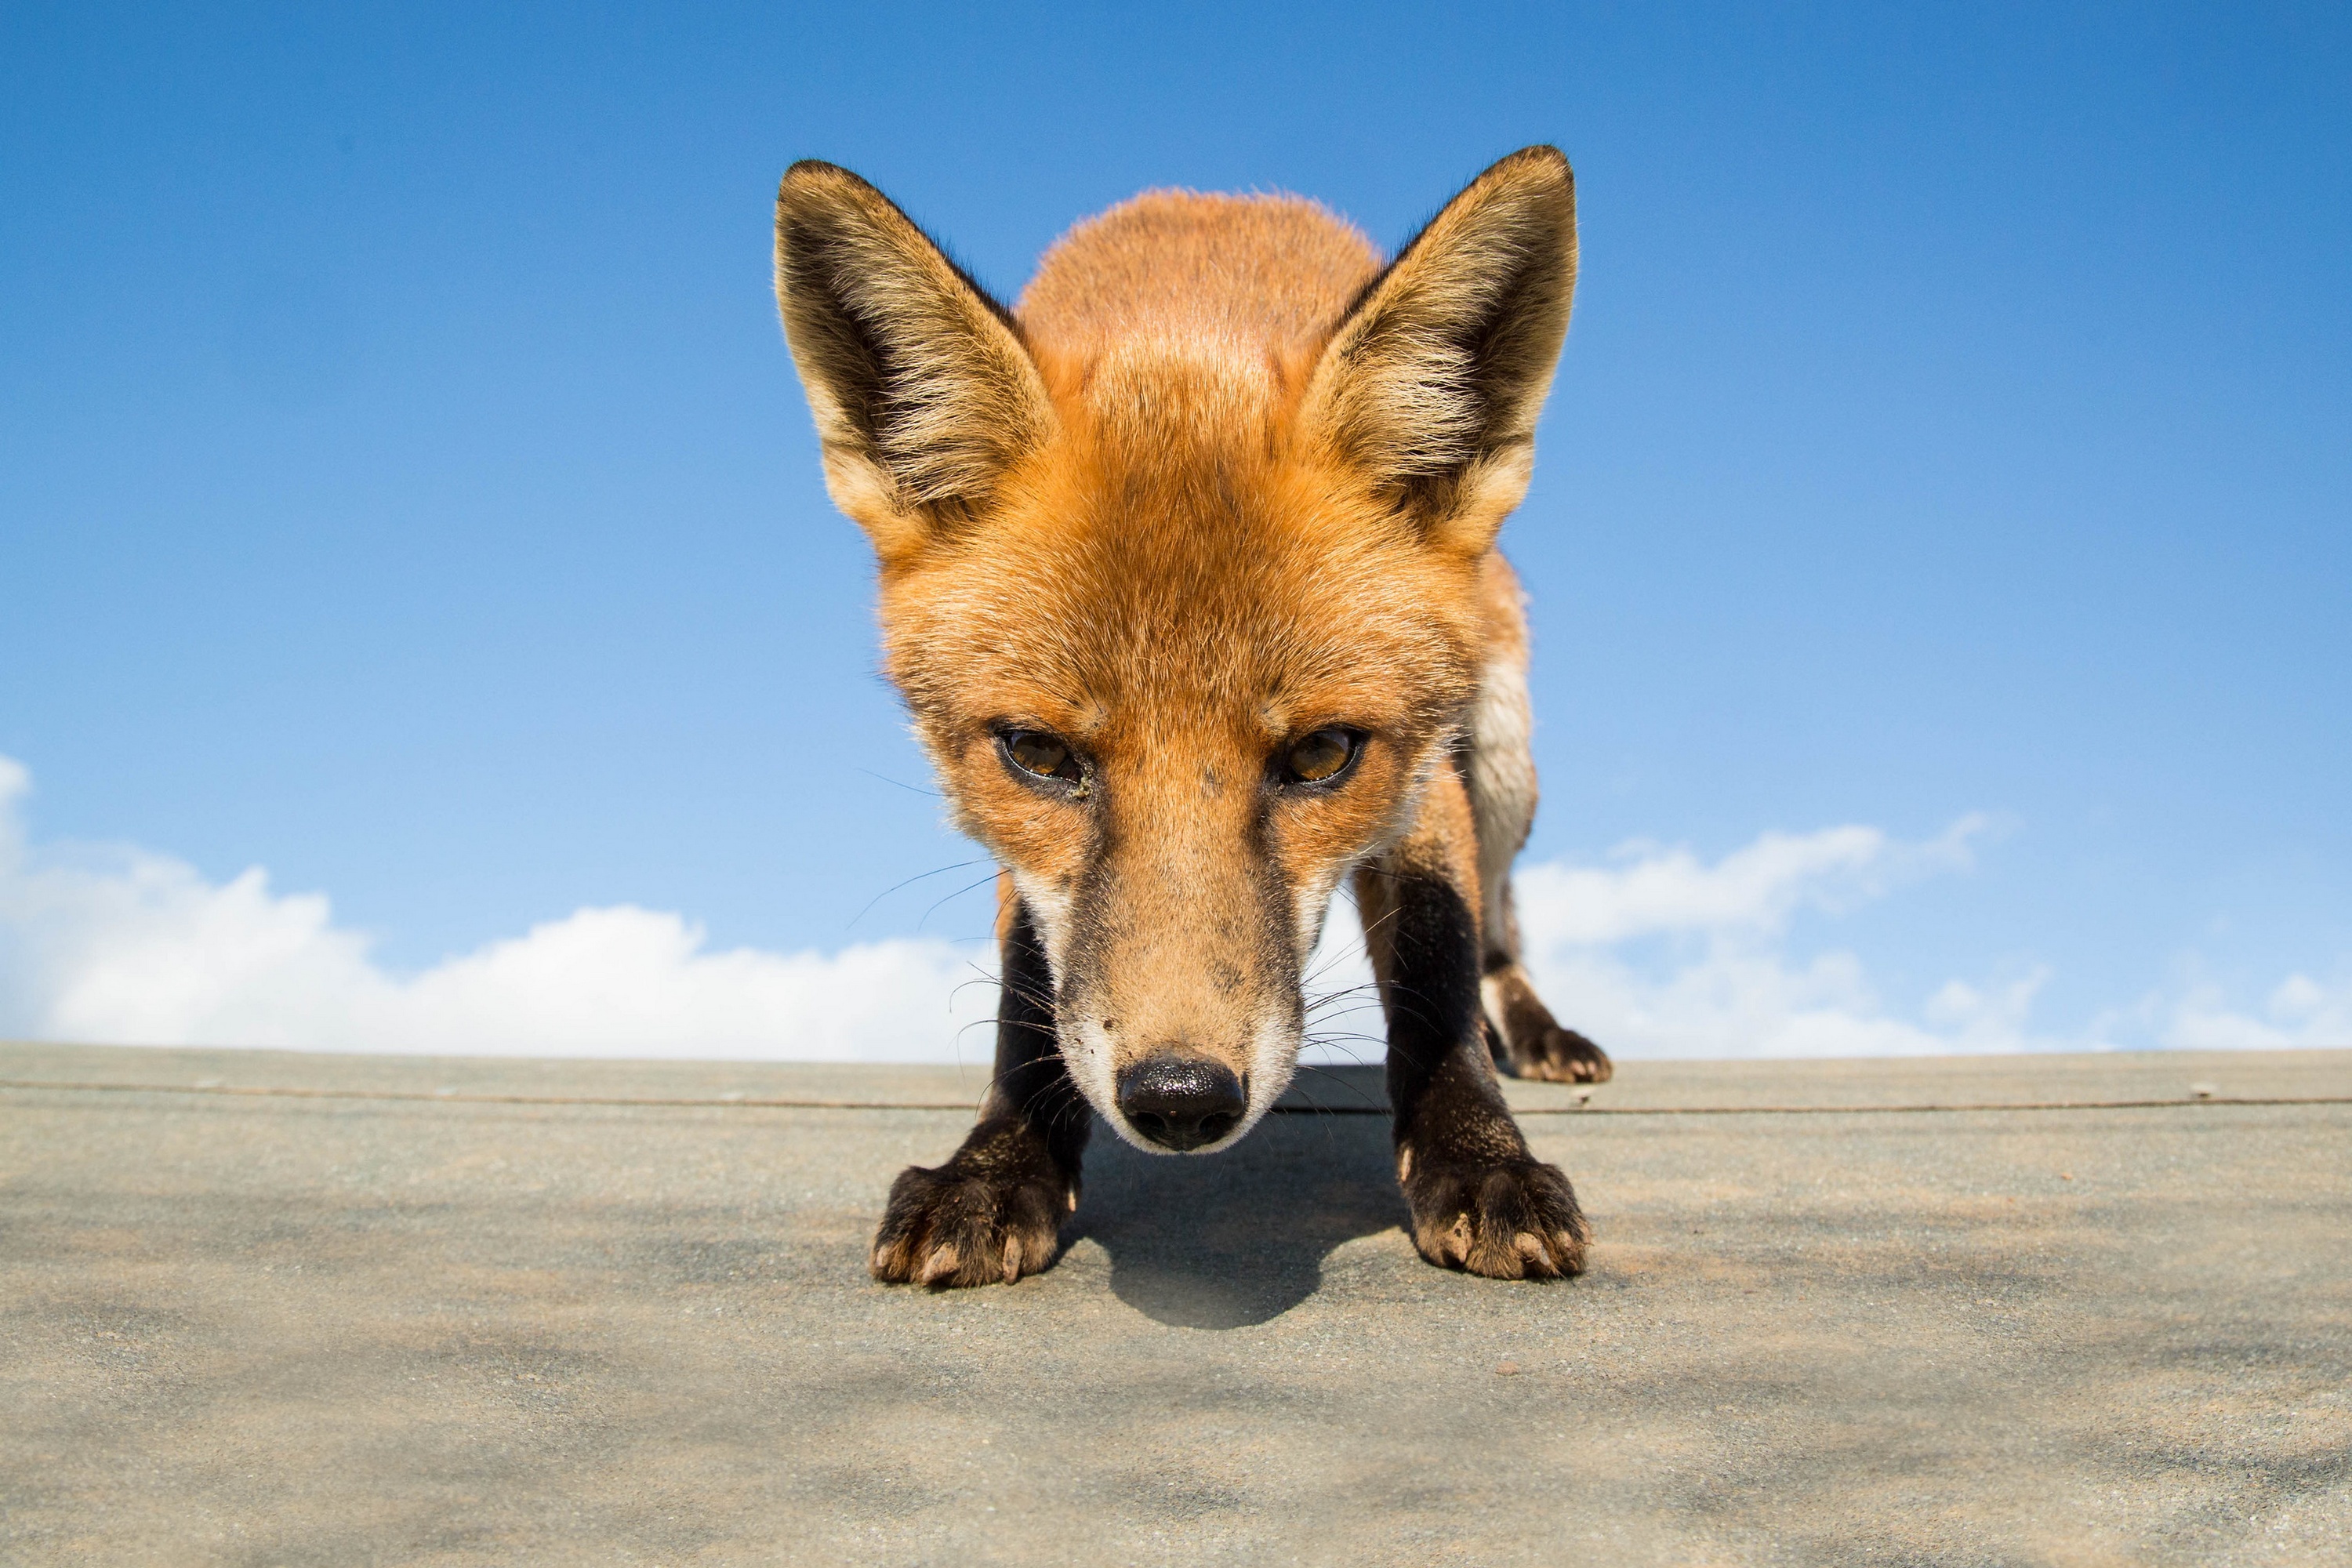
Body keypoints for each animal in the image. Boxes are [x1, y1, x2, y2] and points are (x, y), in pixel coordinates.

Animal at [781, 147, 1609, 1298]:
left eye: (1322, 752)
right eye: (1039, 754)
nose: (1181, 1098)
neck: (1184, 317)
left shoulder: (1421, 768)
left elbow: (1437, 967)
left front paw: (1480, 1159)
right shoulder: (1010, 831)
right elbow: (1029, 993)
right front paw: (1001, 1164)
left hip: (1499, 756)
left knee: (1498, 926)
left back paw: (1536, 1032)